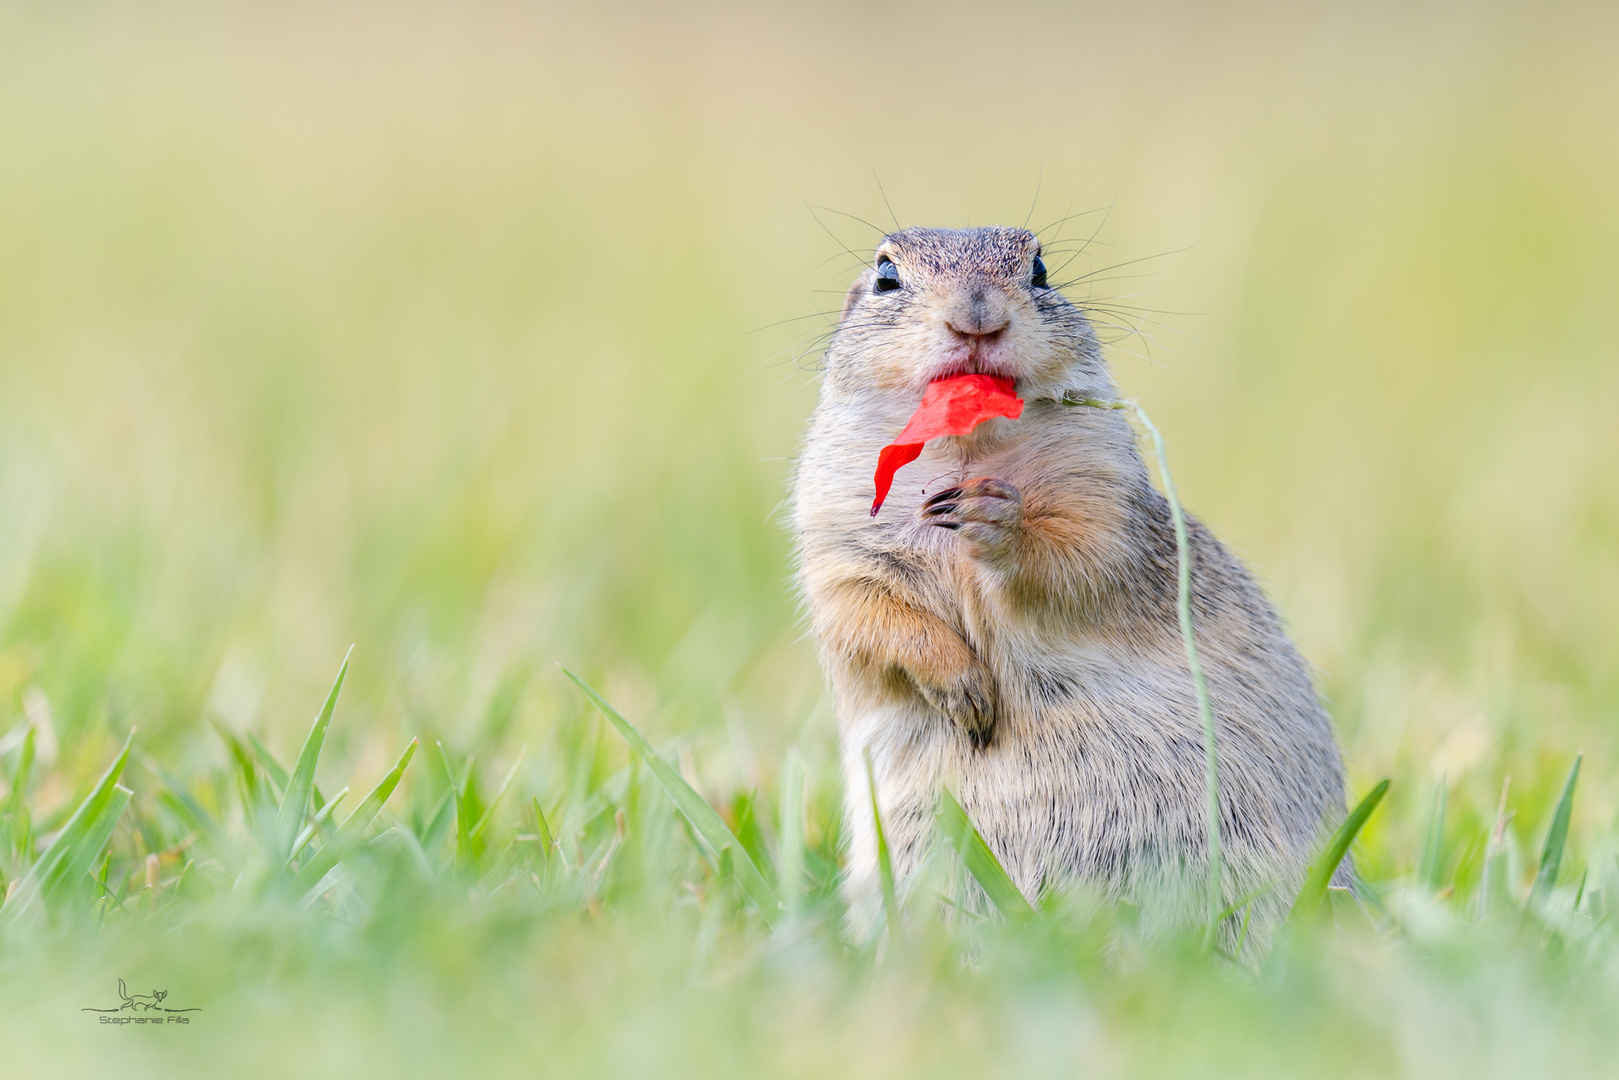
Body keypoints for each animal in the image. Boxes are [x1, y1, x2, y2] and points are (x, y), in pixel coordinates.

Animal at [790, 223, 1347, 939]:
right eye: (887, 275)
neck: (967, 449)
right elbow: (863, 614)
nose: (978, 316)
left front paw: (998, 519)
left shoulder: (1104, 496)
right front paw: (965, 689)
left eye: (1041, 271)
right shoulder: (834, 535)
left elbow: (1081, 561)